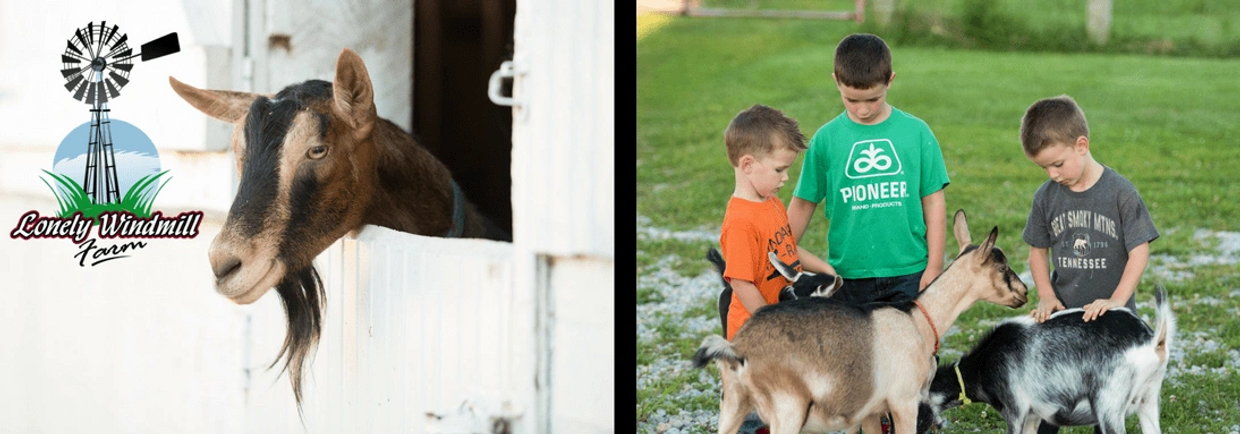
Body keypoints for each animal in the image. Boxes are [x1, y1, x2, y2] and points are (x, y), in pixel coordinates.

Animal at [927, 286, 1175, 431]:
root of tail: (1153, 340)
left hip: (1109, 404)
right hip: (1148, 400)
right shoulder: (1033, 415)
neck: (984, 363)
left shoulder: (1015, 409)